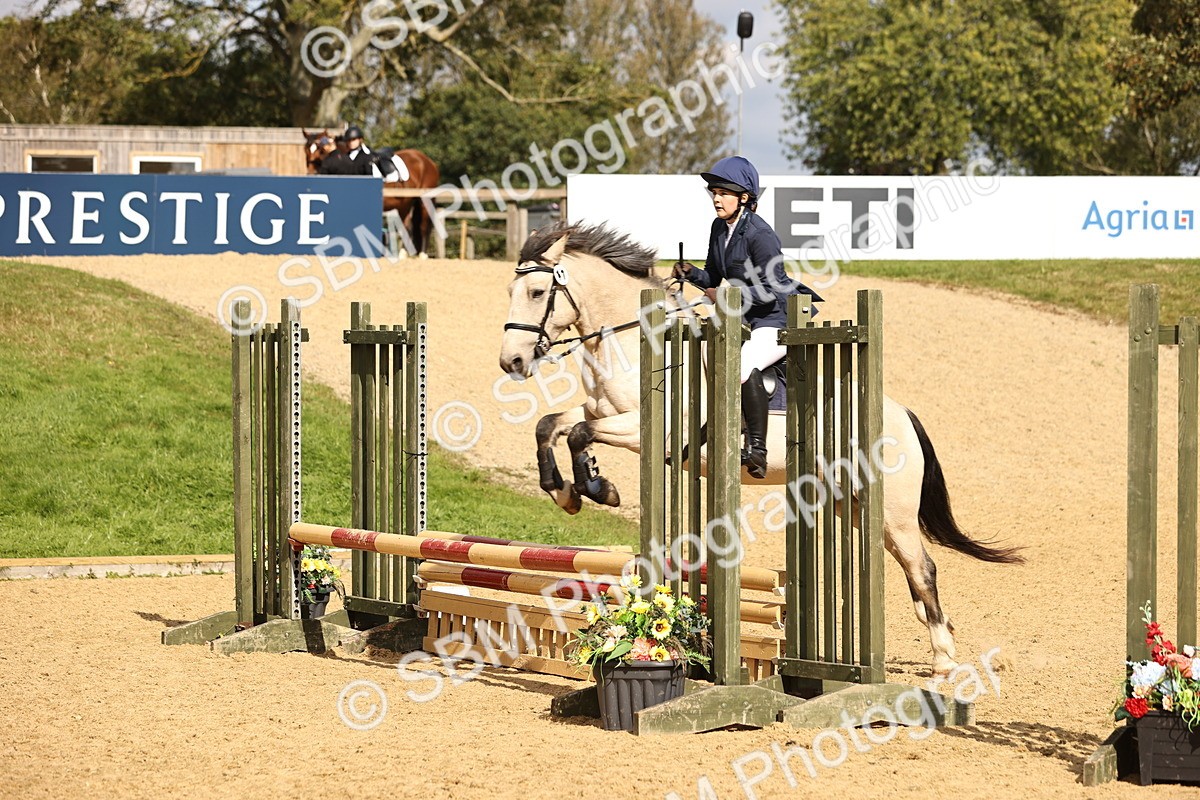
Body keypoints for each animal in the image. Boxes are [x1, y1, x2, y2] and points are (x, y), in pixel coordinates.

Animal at [301, 130, 441, 257]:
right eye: (306, 150)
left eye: (321, 150)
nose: (311, 175)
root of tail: (428, 161)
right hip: (405, 204)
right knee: (407, 226)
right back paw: (403, 254)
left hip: (424, 200)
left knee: (423, 226)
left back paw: (422, 255)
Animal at [497, 221, 1023, 678]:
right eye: (512, 291)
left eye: (538, 293)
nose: (512, 362)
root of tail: (899, 413)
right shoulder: (600, 412)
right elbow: (552, 426)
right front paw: (565, 491)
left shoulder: (647, 431)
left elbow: (579, 435)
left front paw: (596, 487)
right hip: (851, 505)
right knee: (906, 563)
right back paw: (941, 637)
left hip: (889, 505)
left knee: (922, 566)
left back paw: (944, 658)